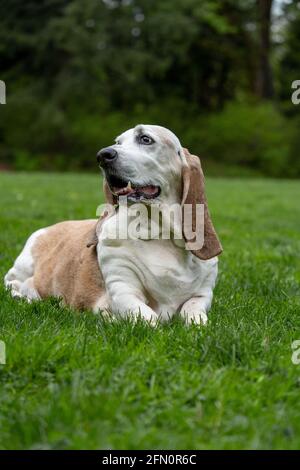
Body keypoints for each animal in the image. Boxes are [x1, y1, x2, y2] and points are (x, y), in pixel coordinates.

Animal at [3, 123, 221, 324]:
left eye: (145, 139)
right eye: (118, 142)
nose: (102, 155)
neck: (160, 234)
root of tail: (51, 227)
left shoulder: (203, 294)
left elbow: (193, 312)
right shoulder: (123, 290)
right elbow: (150, 319)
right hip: (24, 266)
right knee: (11, 283)